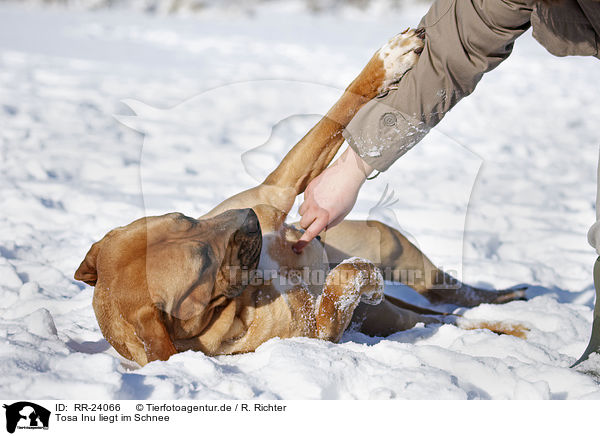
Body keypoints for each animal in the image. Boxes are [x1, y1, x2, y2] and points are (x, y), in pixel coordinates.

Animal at [75, 29, 524, 366]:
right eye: (201, 264)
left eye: (183, 217)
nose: (251, 218)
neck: (253, 283)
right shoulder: (318, 329)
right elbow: (343, 283)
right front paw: (356, 275)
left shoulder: (279, 188)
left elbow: (336, 115)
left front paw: (388, 60)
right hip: (395, 303)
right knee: (443, 316)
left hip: (396, 250)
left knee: (453, 297)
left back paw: (511, 306)